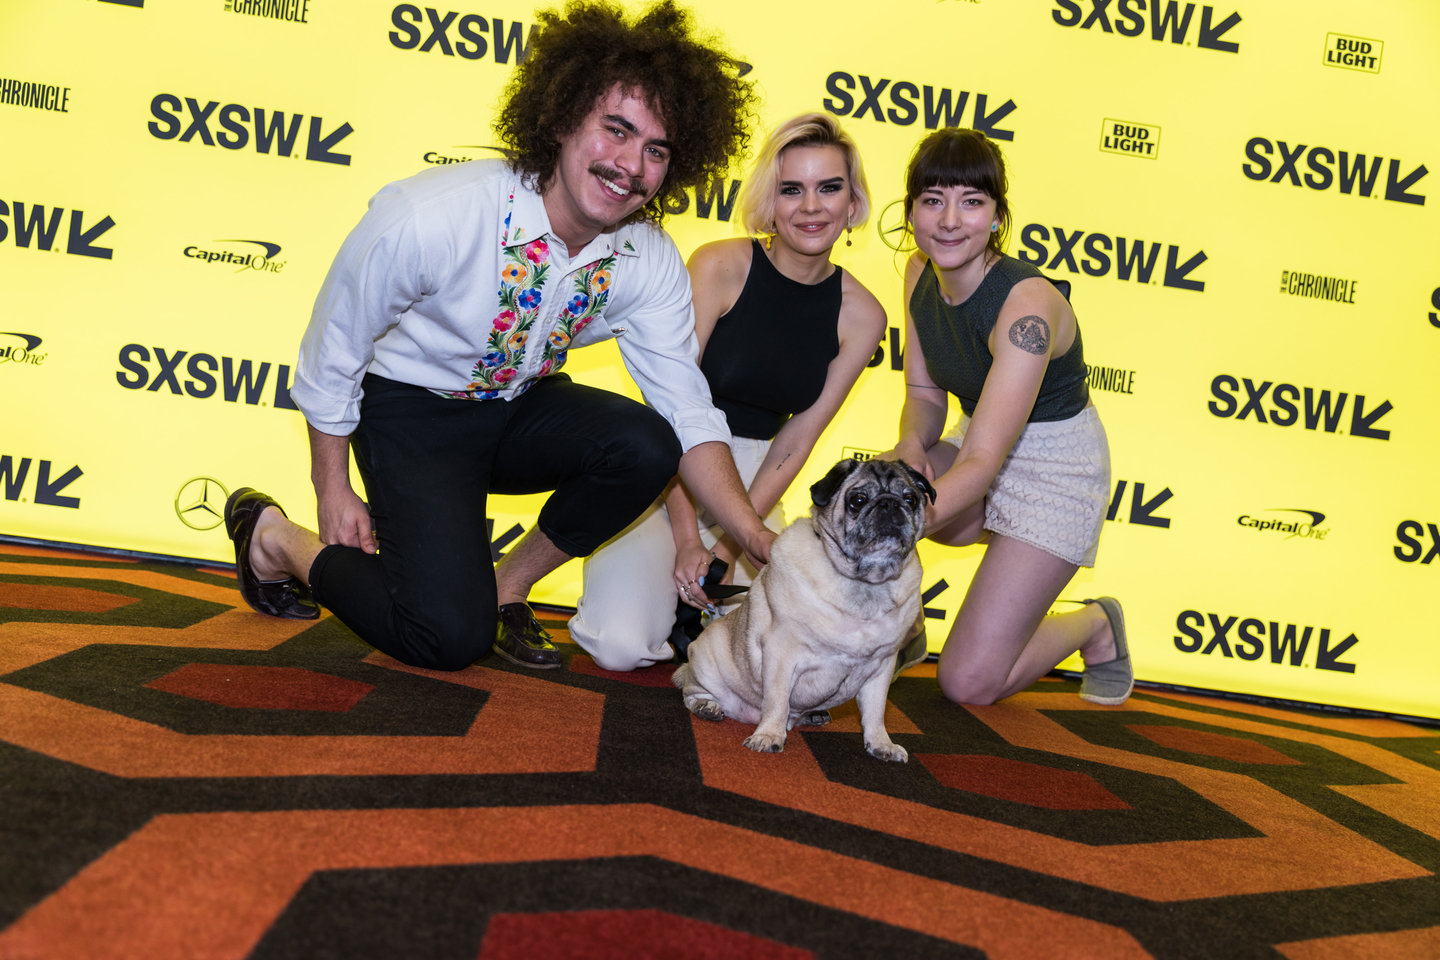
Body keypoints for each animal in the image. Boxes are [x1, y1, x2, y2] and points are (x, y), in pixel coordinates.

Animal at [673, 457, 933, 765]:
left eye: (911, 499)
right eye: (858, 500)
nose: (890, 504)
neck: (866, 583)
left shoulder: (882, 668)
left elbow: (875, 711)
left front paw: (881, 744)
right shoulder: (781, 656)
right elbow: (776, 701)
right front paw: (769, 735)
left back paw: (814, 715)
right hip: (705, 663)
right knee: (691, 692)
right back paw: (707, 706)